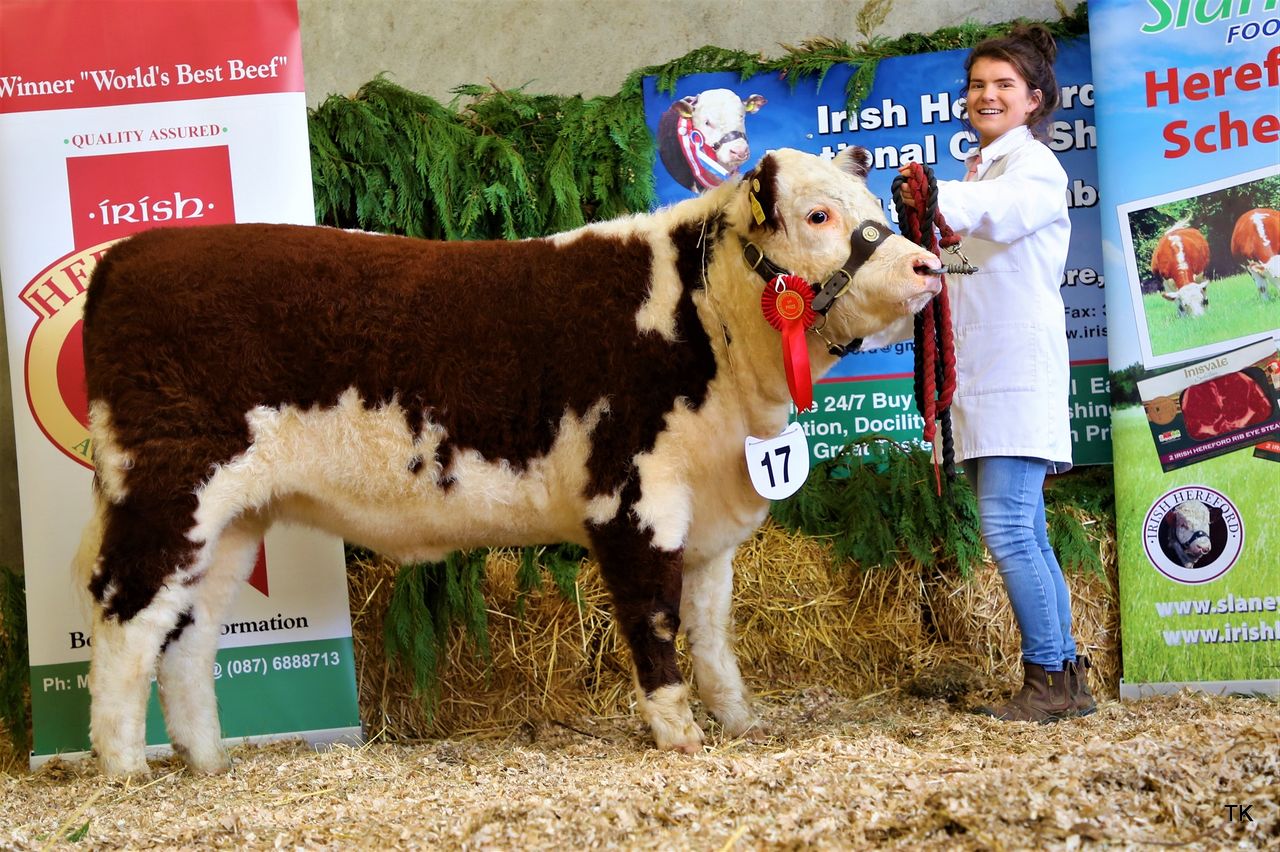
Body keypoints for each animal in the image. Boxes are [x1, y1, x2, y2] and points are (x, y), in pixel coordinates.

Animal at [75, 146, 943, 777]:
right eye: (817, 213)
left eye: (878, 209)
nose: (928, 268)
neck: (704, 328)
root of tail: (126, 258)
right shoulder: (633, 495)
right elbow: (655, 616)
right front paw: (679, 734)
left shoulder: (709, 519)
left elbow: (711, 628)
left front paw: (738, 721)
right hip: (166, 488)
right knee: (125, 617)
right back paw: (124, 769)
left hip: (231, 521)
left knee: (189, 635)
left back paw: (208, 764)